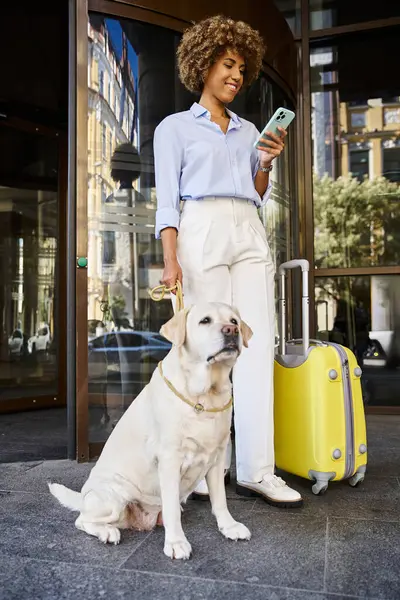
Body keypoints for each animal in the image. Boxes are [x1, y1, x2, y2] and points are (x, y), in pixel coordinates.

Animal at [48, 302, 252, 560]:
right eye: (205, 320)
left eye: (234, 321)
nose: (231, 331)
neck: (205, 396)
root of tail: (84, 496)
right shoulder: (169, 459)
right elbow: (173, 509)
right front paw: (176, 542)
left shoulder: (216, 457)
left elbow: (221, 500)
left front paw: (229, 527)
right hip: (113, 497)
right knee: (82, 520)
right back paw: (107, 532)